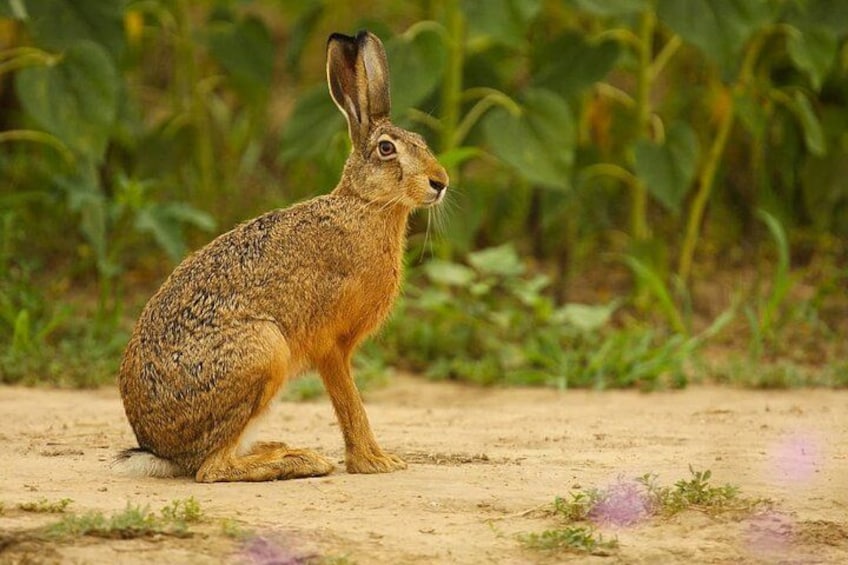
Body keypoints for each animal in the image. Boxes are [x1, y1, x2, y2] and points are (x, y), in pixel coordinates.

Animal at [115, 30, 449, 482]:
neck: (365, 206)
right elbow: (350, 403)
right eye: (385, 149)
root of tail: (157, 447)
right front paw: (375, 463)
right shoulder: (331, 343)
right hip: (264, 350)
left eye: (422, 143)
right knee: (211, 468)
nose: (440, 182)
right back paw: (300, 461)